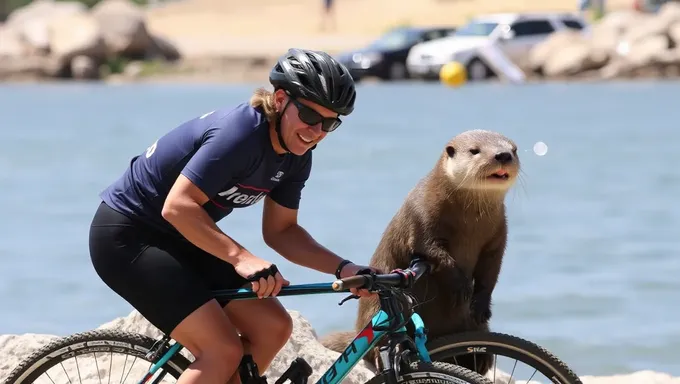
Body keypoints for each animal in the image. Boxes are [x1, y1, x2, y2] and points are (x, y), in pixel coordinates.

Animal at [320, 130, 520, 376]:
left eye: (513, 149)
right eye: (475, 150)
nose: (503, 155)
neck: (470, 222)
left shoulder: (498, 236)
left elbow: (490, 272)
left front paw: (481, 304)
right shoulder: (421, 216)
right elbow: (430, 250)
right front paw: (460, 285)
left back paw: (479, 358)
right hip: (373, 308)